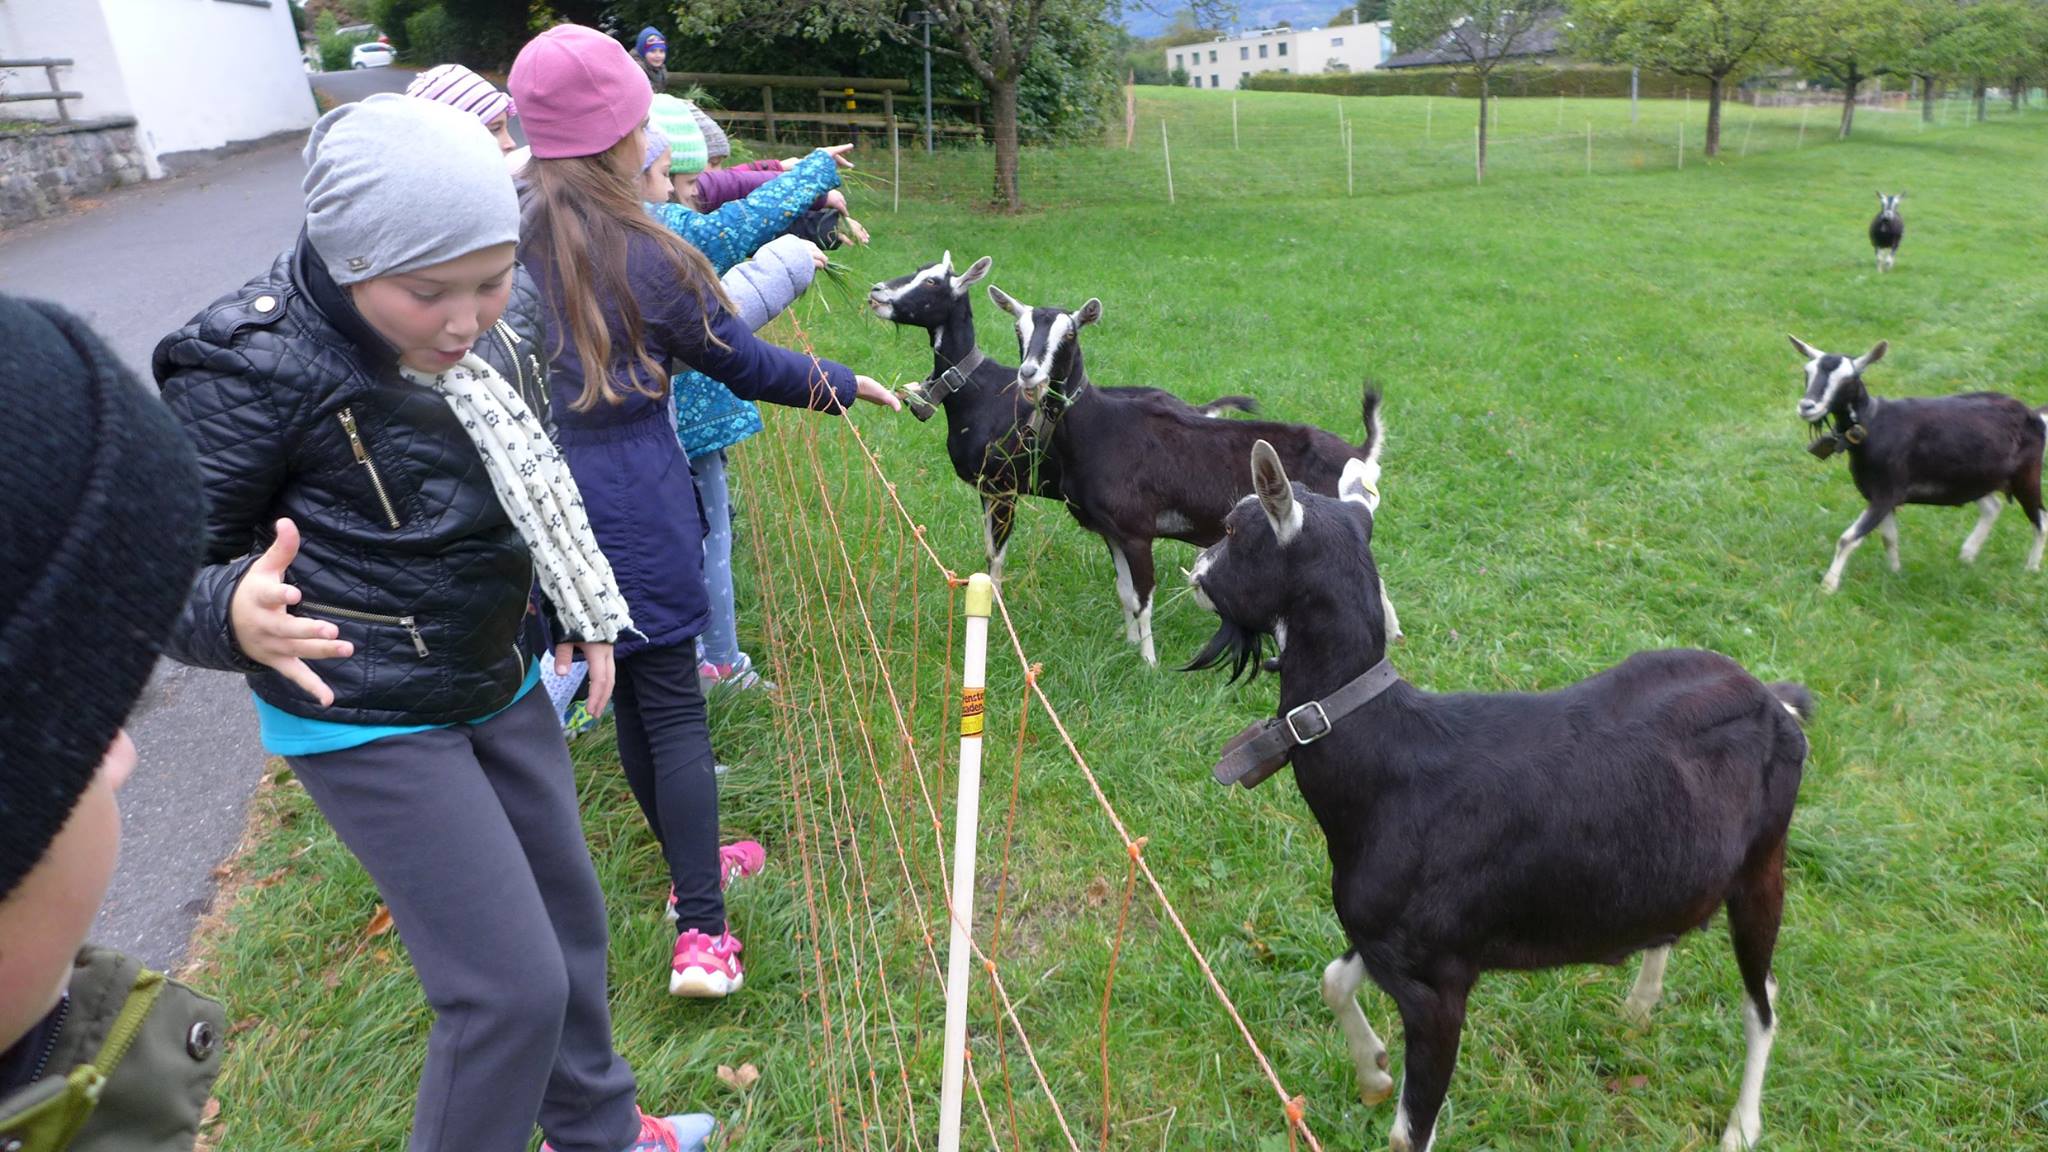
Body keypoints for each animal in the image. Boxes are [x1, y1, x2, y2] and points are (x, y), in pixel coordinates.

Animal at [860, 254, 1245, 578]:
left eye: (931, 281)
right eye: (917, 269)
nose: (876, 291)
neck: (977, 391)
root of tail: (1201, 411)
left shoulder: (1002, 488)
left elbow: (994, 557)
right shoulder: (987, 489)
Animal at [1187, 436, 1810, 1147]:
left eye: (1232, 529)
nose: (1194, 569)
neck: (1389, 759)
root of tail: (1776, 703)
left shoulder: (1440, 985)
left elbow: (1409, 1133)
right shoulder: (1391, 940)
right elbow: (1332, 980)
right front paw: (1373, 1072)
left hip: (1764, 864)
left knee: (1763, 1000)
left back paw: (1742, 1126)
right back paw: (1638, 1006)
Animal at [1785, 332, 2039, 586]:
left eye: (1848, 379)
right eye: (1807, 371)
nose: (1807, 407)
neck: (1873, 424)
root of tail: (2033, 414)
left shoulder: (1887, 494)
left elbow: (1847, 539)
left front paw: (1828, 586)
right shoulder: (1877, 496)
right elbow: (1889, 538)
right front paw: (1894, 574)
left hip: (2026, 476)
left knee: (2040, 519)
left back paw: (2031, 569)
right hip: (1974, 479)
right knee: (1992, 507)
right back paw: (1967, 555)